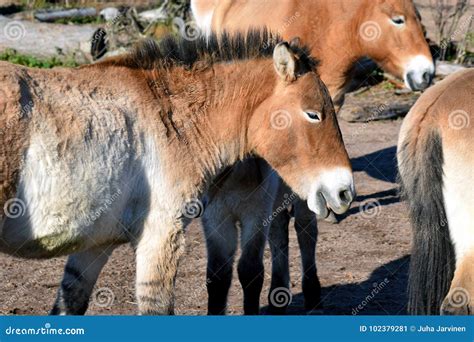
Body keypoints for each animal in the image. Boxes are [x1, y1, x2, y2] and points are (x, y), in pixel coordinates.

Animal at [0, 30, 354, 314]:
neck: (170, 116)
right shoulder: (161, 237)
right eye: (313, 114)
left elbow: (68, 304)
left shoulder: (96, 243)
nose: (344, 191)